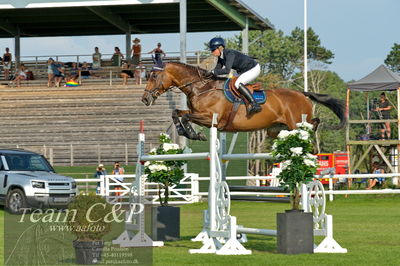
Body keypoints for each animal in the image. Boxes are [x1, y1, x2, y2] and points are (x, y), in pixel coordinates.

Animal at [141, 62, 346, 140]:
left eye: (154, 76)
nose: (144, 99)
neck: (201, 87)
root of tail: (301, 94)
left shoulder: (210, 118)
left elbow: (185, 117)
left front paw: (194, 134)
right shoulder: (197, 114)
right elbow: (176, 113)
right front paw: (187, 133)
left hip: (296, 122)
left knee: (314, 122)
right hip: (276, 129)